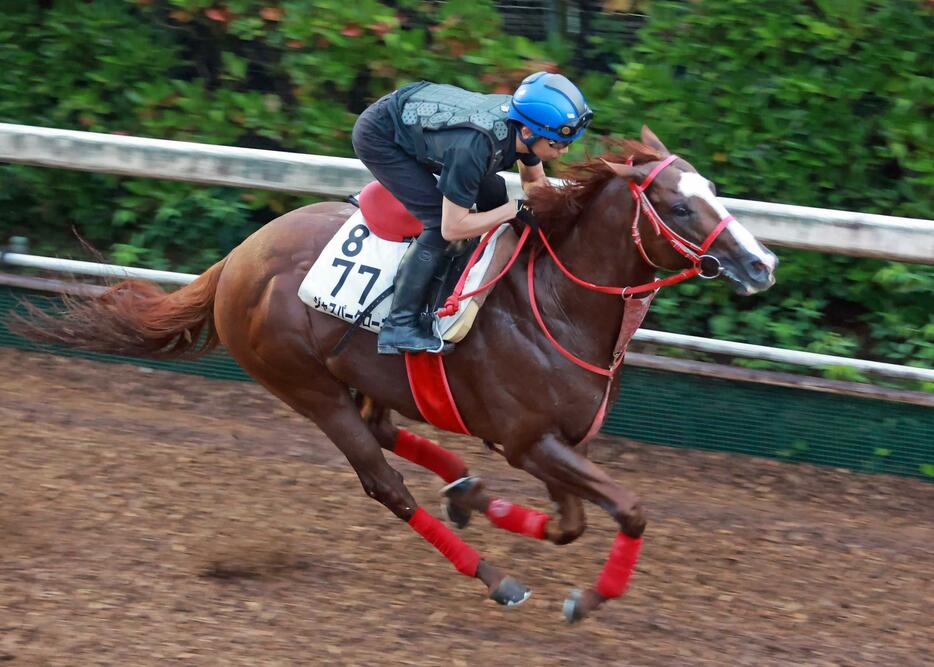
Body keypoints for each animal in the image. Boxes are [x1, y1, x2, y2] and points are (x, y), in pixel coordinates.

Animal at [16, 128, 776, 624]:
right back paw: (495, 576)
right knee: (384, 481)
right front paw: (583, 597)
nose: (762, 263)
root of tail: (238, 259)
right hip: (305, 386)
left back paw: (466, 490)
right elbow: (627, 508)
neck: (557, 303)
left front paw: (494, 510)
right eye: (680, 206)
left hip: (363, 376)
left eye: (714, 191)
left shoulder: (558, 445)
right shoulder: (530, 441)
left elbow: (571, 522)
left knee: (385, 431)